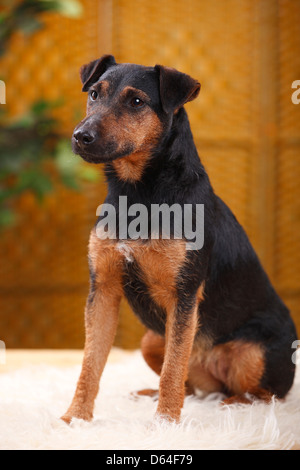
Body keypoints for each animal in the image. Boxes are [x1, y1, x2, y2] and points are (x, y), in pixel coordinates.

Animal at [61, 54, 298, 422]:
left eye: (136, 102)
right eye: (94, 94)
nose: (80, 136)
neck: (139, 192)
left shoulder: (183, 294)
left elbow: (172, 369)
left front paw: (165, 424)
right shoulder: (102, 289)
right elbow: (90, 363)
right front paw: (74, 419)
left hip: (254, 352)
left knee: (266, 394)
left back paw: (233, 404)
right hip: (151, 339)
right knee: (190, 383)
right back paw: (150, 395)